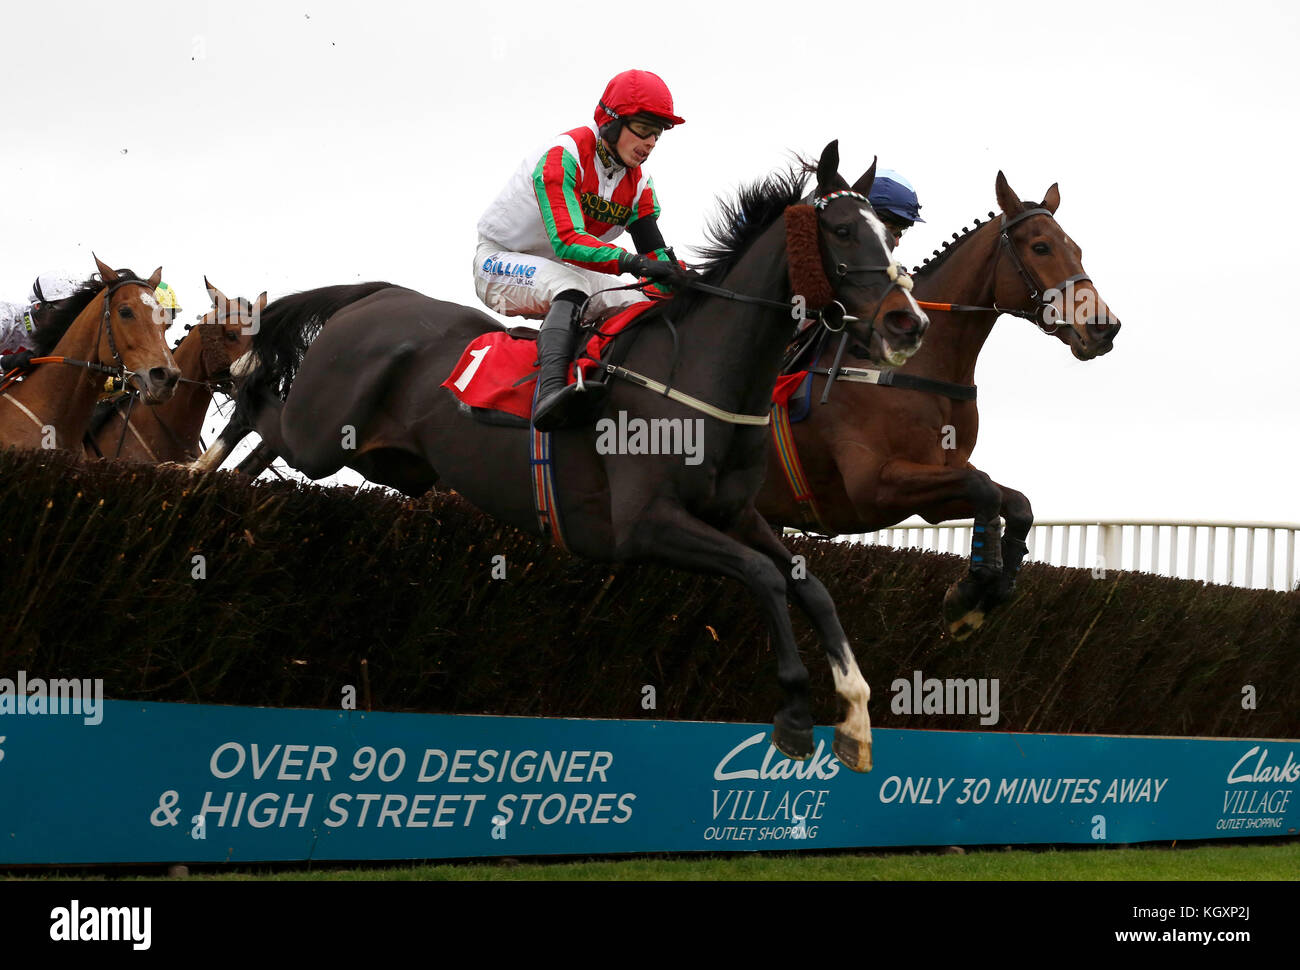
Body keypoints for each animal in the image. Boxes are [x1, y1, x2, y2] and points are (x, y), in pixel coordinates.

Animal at [200, 139, 925, 764]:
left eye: (889, 236)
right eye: (841, 231)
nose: (907, 322)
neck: (704, 373)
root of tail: (374, 295)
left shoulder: (735, 514)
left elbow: (812, 585)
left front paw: (856, 717)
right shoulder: (643, 525)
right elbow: (765, 577)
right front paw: (798, 716)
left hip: (384, 461)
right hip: (323, 435)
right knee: (258, 405)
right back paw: (200, 463)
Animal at [759, 171, 1123, 634]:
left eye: (1076, 248)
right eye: (1041, 247)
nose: (1104, 327)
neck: (922, 366)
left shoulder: (938, 481)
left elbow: (1014, 502)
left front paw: (993, 586)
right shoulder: (872, 487)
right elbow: (984, 488)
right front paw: (969, 594)